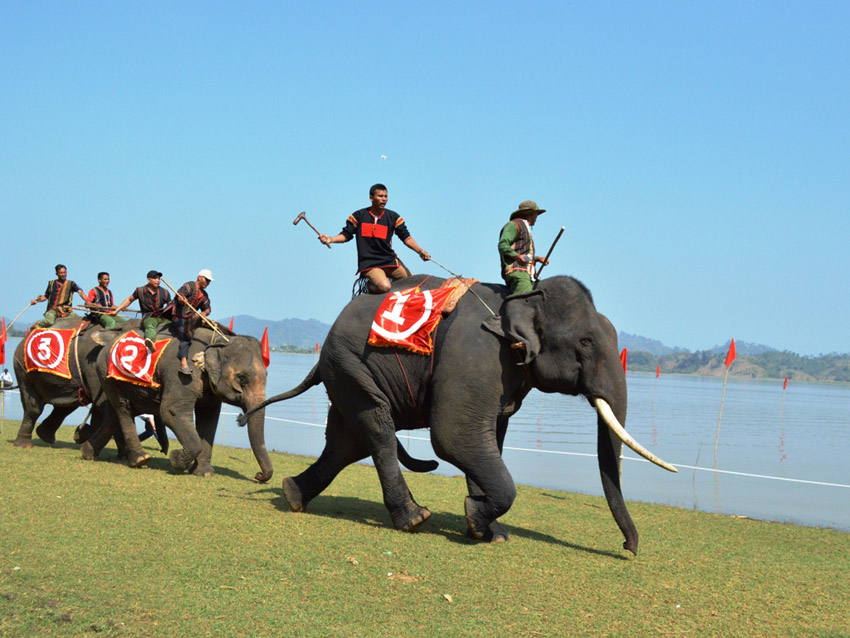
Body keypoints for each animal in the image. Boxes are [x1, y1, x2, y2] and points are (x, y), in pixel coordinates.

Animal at [81, 322, 270, 482]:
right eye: (243, 378)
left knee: (113, 414)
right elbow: (171, 412)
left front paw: (203, 473)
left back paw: (88, 453)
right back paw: (140, 459)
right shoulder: (182, 375)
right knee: (124, 410)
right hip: (107, 374)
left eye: (267, 376)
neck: (219, 340)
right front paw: (176, 459)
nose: (258, 475)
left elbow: (209, 419)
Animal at [240, 276, 676, 556]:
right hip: (349, 363)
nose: (628, 548)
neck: (521, 297)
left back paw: (293, 495)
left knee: (347, 441)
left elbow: (487, 439)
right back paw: (414, 519)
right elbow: (454, 436)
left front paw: (489, 532)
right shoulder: (476, 357)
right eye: (585, 342)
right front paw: (476, 518)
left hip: (347, 371)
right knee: (376, 428)